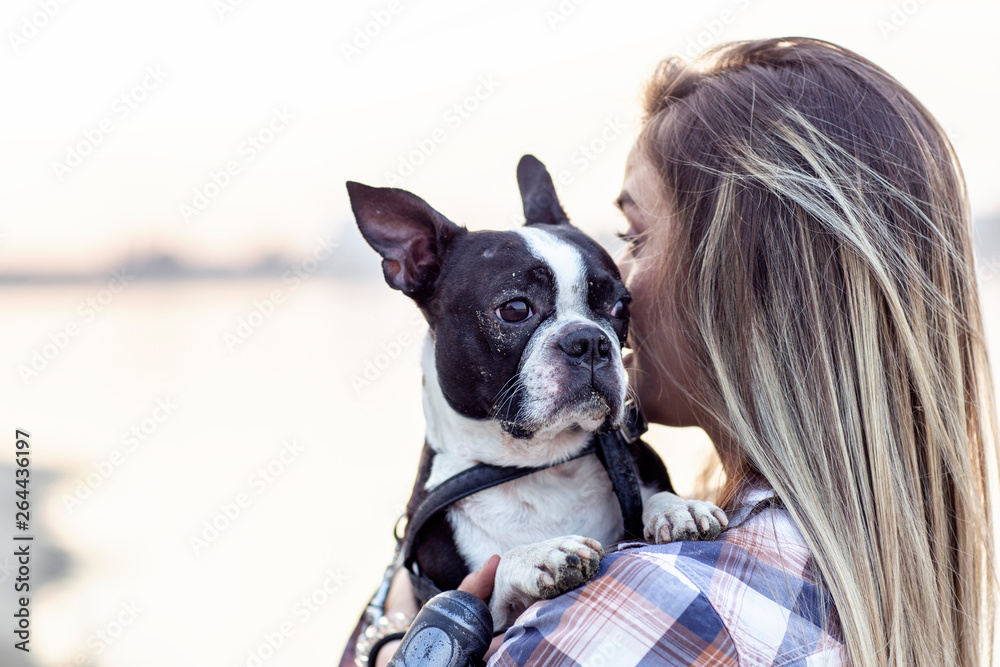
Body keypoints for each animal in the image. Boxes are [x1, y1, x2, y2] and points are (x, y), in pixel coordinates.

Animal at [348, 157, 724, 636]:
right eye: (514, 309)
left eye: (621, 306)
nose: (589, 341)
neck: (541, 465)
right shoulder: (452, 596)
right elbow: (488, 581)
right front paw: (539, 554)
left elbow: (657, 494)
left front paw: (678, 508)